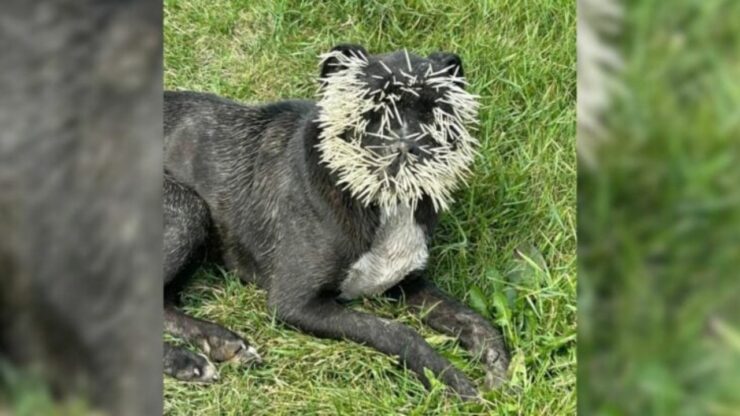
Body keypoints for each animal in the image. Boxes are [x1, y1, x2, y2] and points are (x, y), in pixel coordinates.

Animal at [163, 44, 508, 398]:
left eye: (434, 110)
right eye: (371, 109)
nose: (408, 147)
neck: (386, 203)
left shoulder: (408, 283)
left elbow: (475, 319)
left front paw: (498, 366)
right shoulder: (297, 303)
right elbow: (396, 331)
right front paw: (450, 379)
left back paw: (216, 343)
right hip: (189, 209)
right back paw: (189, 359)